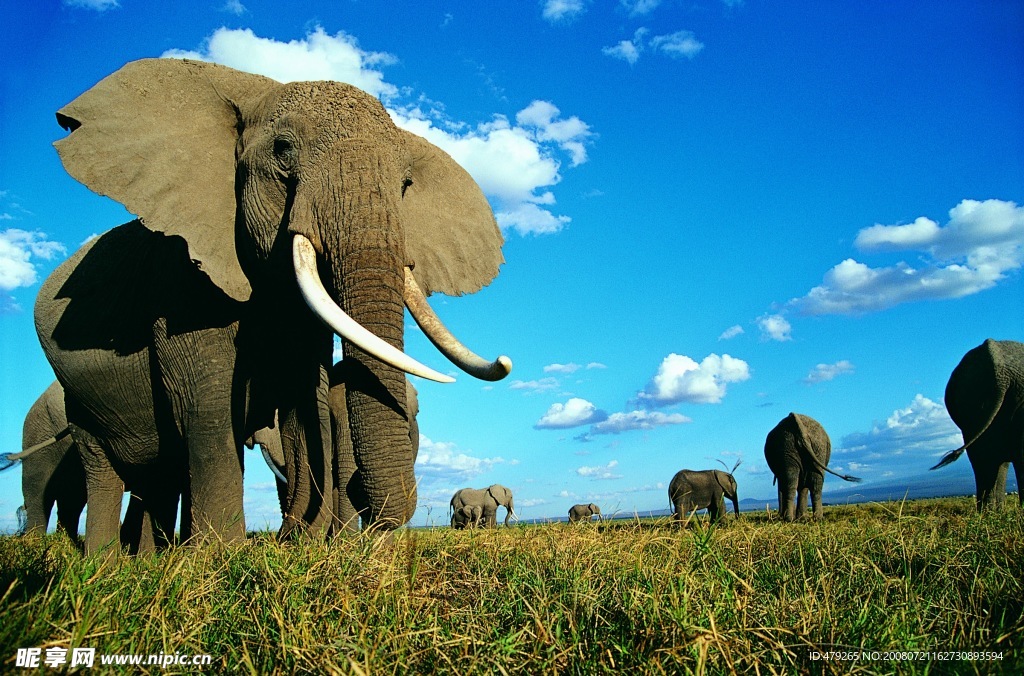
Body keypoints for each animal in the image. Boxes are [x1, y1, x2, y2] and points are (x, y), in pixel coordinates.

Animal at [34, 58, 512, 553]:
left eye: (406, 184)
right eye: (283, 151)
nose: (287, 532)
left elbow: (305, 397)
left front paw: (302, 542)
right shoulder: (181, 283)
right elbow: (209, 412)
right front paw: (221, 555)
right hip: (78, 397)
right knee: (105, 469)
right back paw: (106, 563)